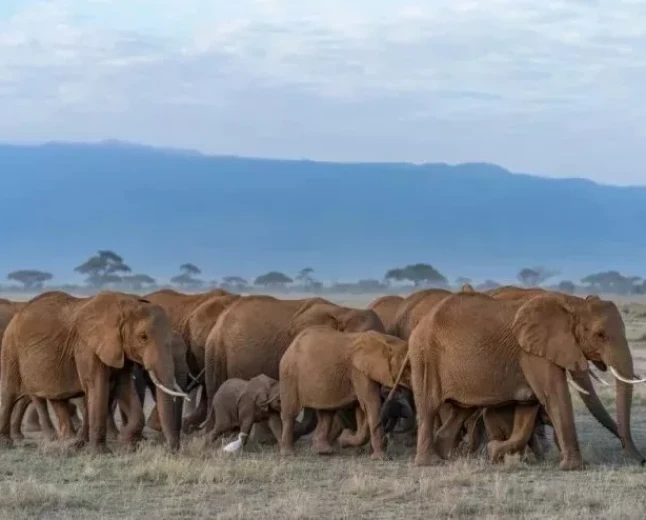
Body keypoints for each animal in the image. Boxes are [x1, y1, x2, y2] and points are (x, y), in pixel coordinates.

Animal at [0, 291, 190, 452]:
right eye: (143, 337)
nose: (171, 450)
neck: (125, 304)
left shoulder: (119, 350)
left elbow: (124, 388)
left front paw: (126, 444)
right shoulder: (86, 347)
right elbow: (98, 386)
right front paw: (101, 452)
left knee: (56, 397)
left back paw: (69, 442)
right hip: (10, 347)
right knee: (10, 393)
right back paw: (8, 443)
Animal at [279, 327, 409, 459]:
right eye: (407, 367)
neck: (385, 340)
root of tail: (292, 344)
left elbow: (361, 409)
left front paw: (345, 441)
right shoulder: (358, 372)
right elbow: (372, 403)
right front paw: (381, 458)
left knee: (326, 414)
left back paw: (323, 451)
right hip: (289, 375)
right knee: (290, 413)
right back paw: (289, 453)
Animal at [403, 290, 645, 470]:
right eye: (600, 335)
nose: (640, 460)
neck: (572, 303)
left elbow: (528, 407)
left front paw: (495, 452)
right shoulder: (532, 353)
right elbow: (554, 396)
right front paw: (575, 467)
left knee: (461, 411)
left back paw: (449, 457)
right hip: (425, 356)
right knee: (428, 408)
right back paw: (429, 462)